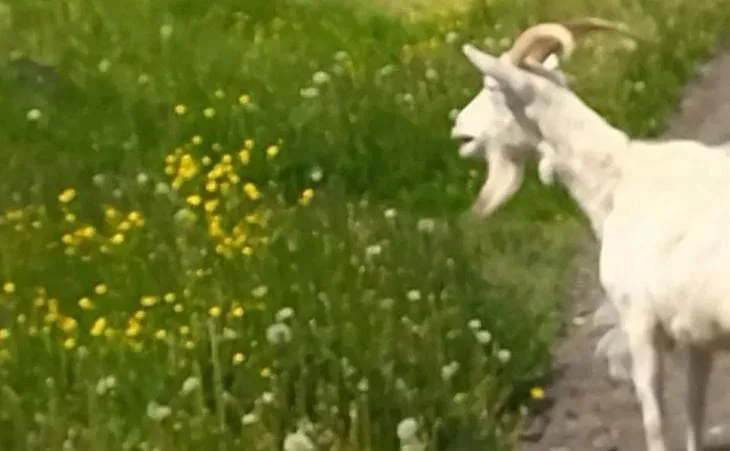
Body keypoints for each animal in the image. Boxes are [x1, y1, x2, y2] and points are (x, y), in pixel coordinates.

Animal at [454, 30, 730, 451]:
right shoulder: (698, 333)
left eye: (492, 86)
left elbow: (655, 418)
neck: (616, 179)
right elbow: (694, 413)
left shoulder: (639, 321)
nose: (458, 126)